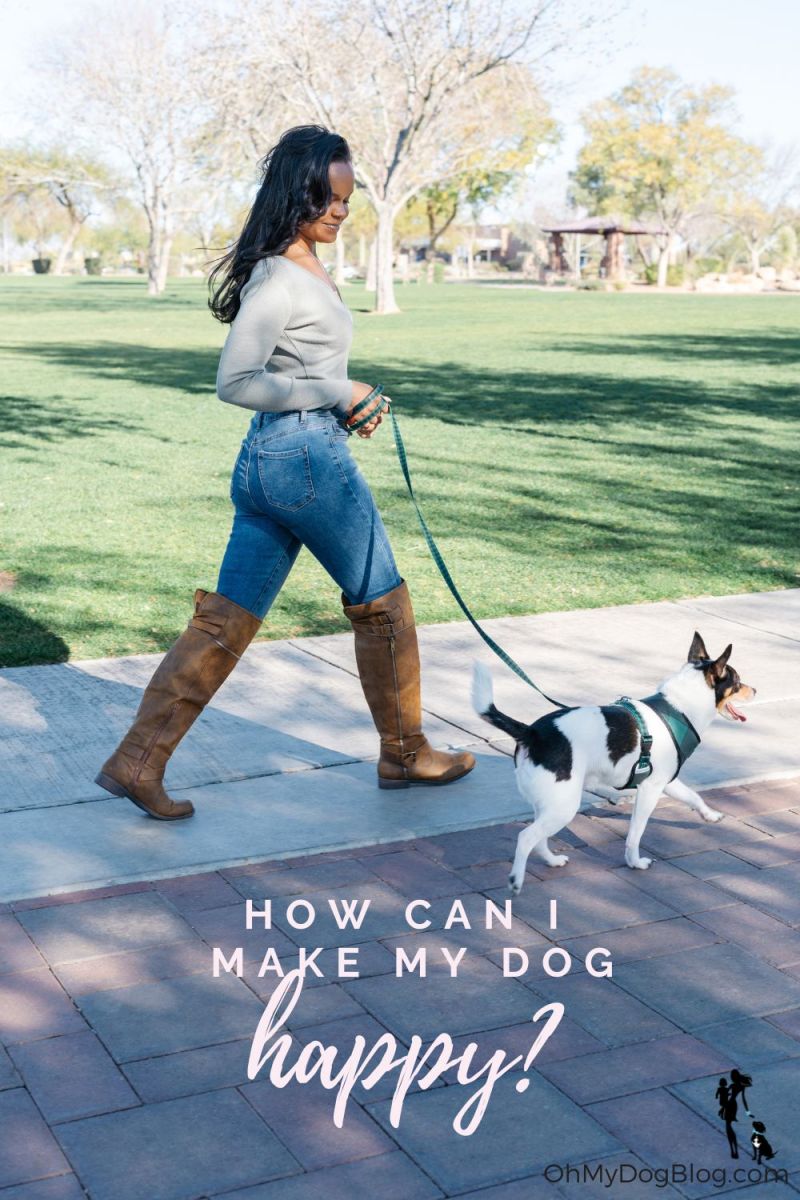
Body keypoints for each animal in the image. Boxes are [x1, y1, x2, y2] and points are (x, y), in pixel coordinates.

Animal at [474, 633, 758, 897]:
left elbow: (693, 797)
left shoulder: (666, 782)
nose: (755, 690)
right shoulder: (650, 790)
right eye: (737, 682)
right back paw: (516, 880)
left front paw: (710, 815)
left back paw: (552, 861)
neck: (678, 707)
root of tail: (531, 732)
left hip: (551, 803)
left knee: (539, 838)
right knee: (526, 837)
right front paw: (635, 862)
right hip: (564, 806)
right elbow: (635, 833)